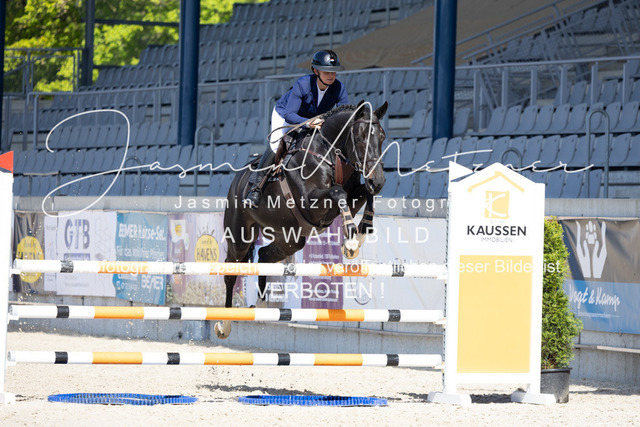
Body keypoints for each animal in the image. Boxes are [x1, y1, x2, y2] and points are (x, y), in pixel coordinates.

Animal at [215, 101, 388, 339]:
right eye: (360, 138)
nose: (378, 181)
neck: (329, 153)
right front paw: (351, 242)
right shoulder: (311, 204)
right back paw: (224, 324)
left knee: (264, 255)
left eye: (382, 137)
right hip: (239, 236)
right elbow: (338, 192)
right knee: (231, 272)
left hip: (291, 238)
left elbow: (365, 193)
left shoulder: (352, 197)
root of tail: (236, 181)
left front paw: (360, 233)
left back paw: (261, 305)